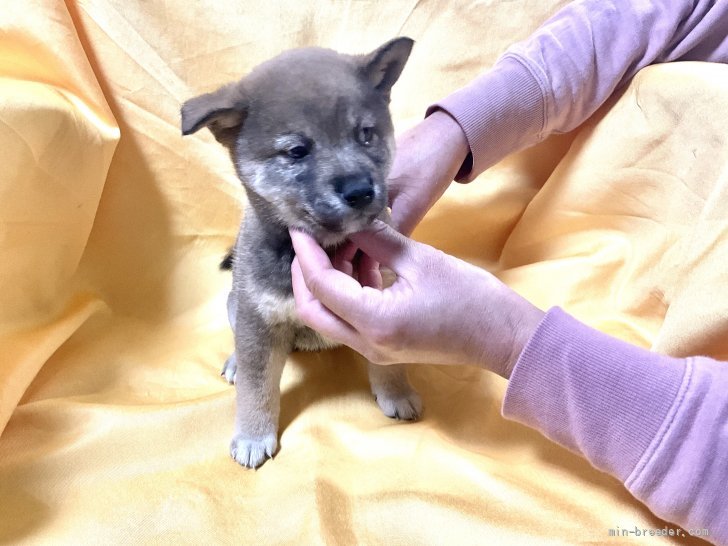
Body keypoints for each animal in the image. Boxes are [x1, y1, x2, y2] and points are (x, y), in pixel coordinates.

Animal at [181, 38, 420, 466]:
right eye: (296, 151)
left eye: (366, 134)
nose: (360, 190)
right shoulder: (258, 320)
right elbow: (257, 387)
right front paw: (253, 435)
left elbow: (388, 361)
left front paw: (398, 392)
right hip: (236, 305)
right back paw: (234, 362)